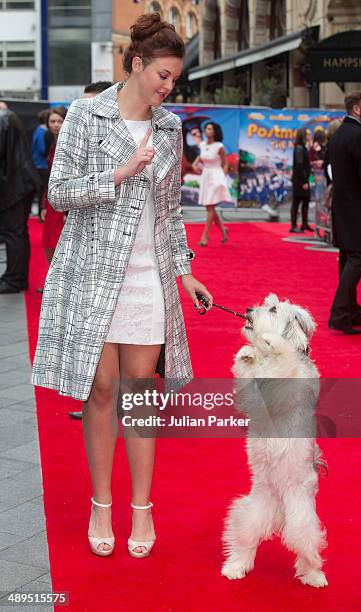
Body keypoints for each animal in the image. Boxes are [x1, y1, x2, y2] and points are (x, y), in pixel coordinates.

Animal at [221, 294, 328, 592]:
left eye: (272, 308)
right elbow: (248, 380)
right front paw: (247, 354)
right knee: (246, 539)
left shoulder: (286, 388)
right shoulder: (254, 399)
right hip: (253, 509)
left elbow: (283, 358)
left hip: (301, 516)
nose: (248, 309)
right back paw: (235, 567)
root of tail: (280, 500)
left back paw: (315, 576)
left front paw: (273, 343)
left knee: (307, 547)